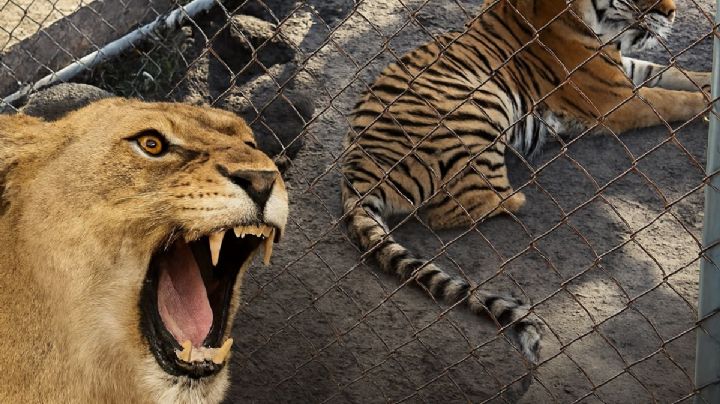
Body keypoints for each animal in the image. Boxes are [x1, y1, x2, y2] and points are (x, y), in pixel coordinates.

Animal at [340, 0, 710, 363]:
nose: (673, 12)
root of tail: (355, 170)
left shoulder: (622, 69)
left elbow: (671, 72)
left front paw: (708, 80)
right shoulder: (616, 98)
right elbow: (671, 99)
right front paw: (708, 101)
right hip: (482, 102)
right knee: (461, 208)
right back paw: (531, 182)